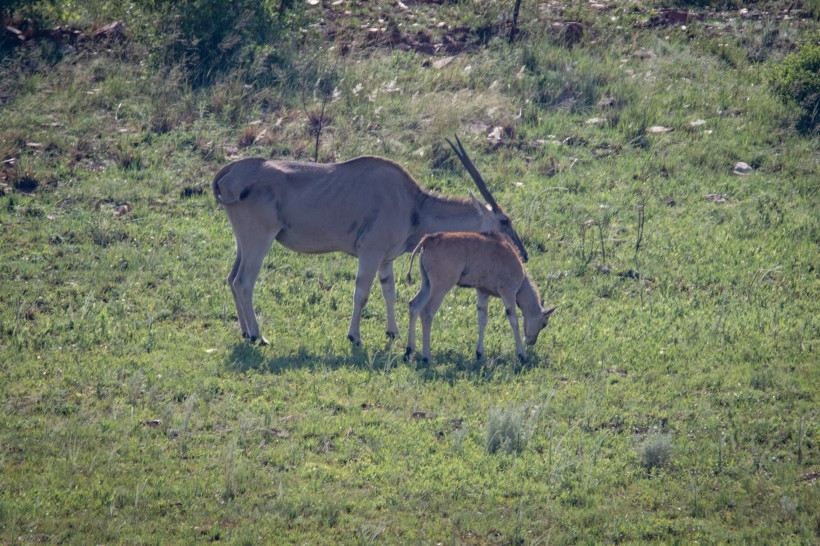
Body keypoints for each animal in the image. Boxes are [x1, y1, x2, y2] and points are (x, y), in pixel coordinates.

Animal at [211, 135, 528, 344]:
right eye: (504, 221)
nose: (522, 254)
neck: (414, 204)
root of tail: (230, 172)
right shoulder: (370, 252)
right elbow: (362, 293)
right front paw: (355, 337)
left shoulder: (385, 259)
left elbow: (390, 291)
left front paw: (393, 331)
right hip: (259, 240)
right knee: (244, 282)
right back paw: (258, 336)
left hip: (243, 243)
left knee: (231, 279)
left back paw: (245, 332)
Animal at [406, 230, 556, 362]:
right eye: (544, 324)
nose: (531, 342)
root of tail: (429, 239)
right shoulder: (508, 292)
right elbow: (514, 321)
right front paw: (522, 354)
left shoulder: (482, 292)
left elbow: (482, 319)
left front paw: (479, 353)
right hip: (440, 287)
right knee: (427, 312)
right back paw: (426, 357)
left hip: (427, 284)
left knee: (414, 305)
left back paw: (409, 351)